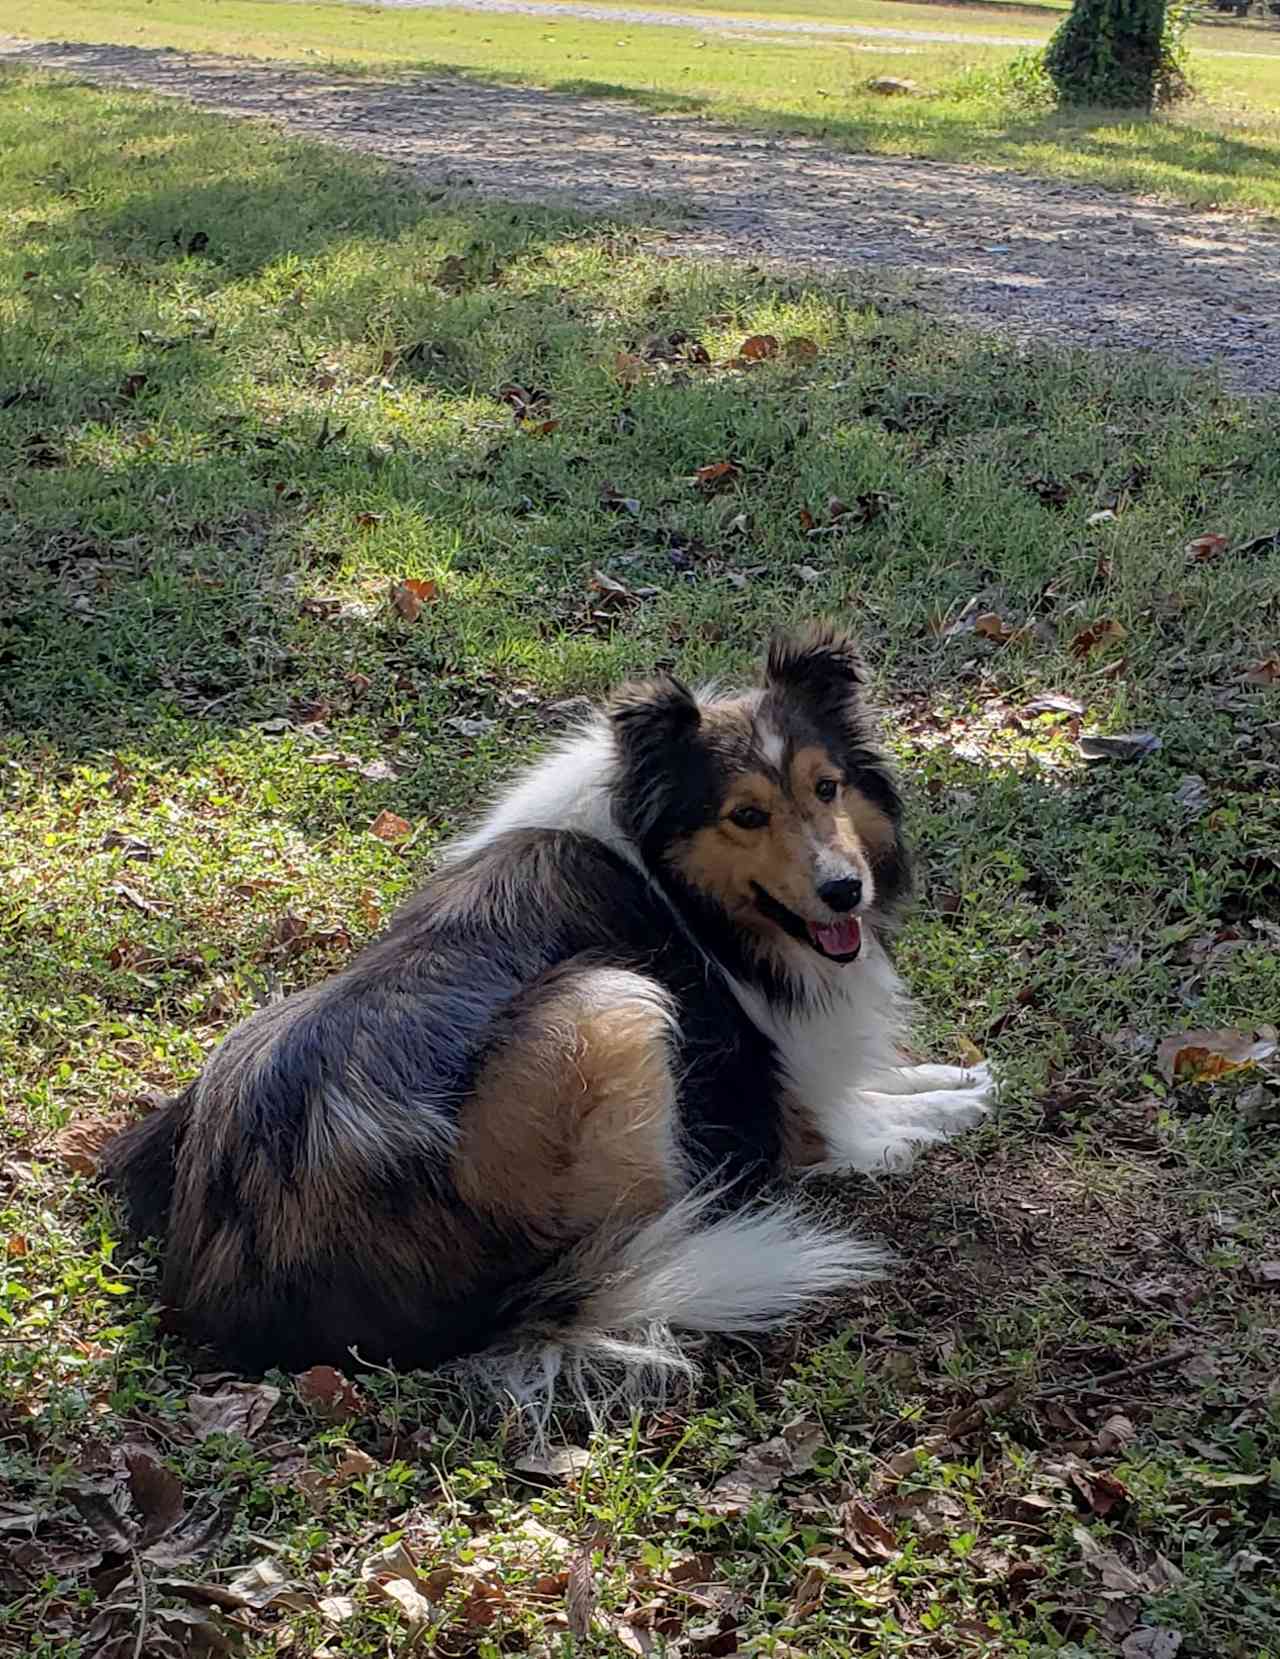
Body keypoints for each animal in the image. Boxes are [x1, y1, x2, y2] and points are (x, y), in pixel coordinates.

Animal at [107, 627, 988, 1420]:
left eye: (827, 787)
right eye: (746, 813)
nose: (846, 890)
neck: (668, 872)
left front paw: (953, 1076)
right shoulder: (769, 1080)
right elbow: (838, 1119)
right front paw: (931, 1118)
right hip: (610, 1005)